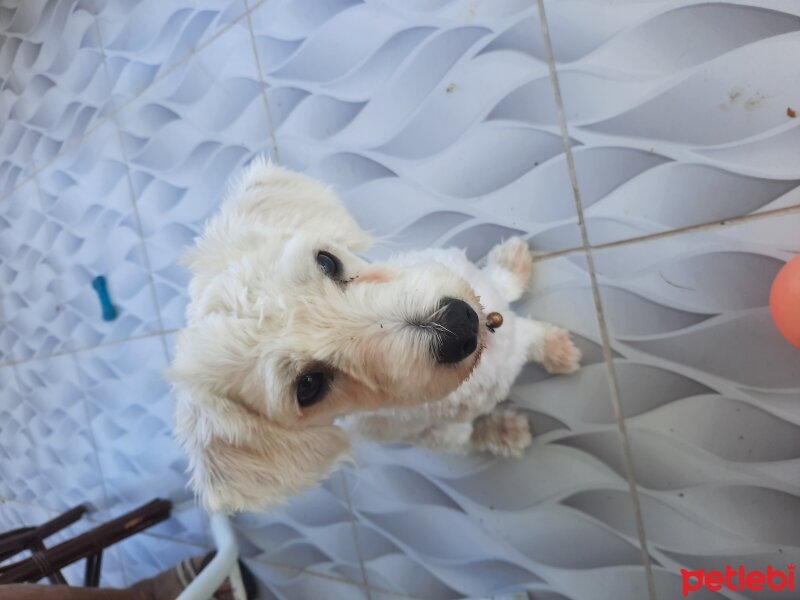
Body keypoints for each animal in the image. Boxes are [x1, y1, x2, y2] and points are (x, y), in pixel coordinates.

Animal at [170, 158, 580, 510]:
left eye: (326, 260)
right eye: (309, 386)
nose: (459, 323)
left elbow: (509, 307)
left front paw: (546, 331)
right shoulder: (432, 430)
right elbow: (470, 431)